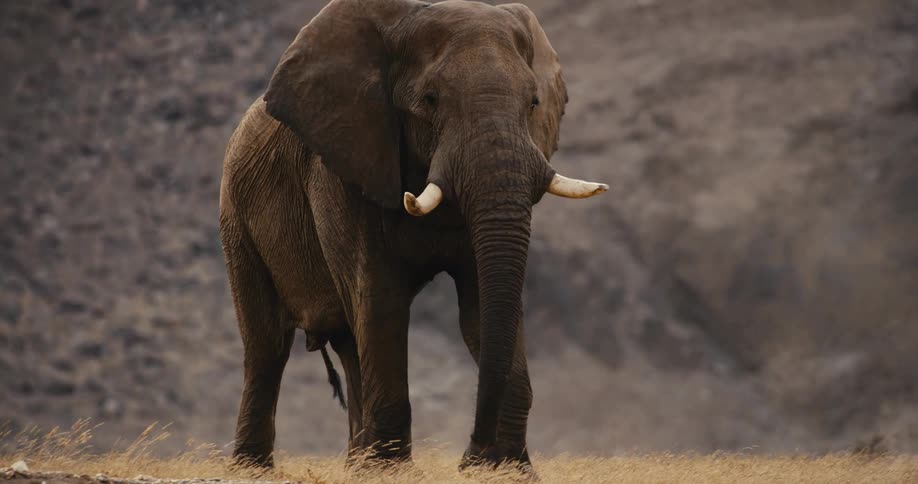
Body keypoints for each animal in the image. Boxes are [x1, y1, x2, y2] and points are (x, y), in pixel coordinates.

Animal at [219, 0, 607, 471]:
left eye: (534, 102)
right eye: (431, 100)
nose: (469, 454)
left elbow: (481, 307)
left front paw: (511, 471)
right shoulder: (347, 166)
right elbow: (381, 298)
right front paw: (394, 473)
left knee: (348, 343)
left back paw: (357, 465)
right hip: (235, 215)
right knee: (267, 346)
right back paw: (253, 468)